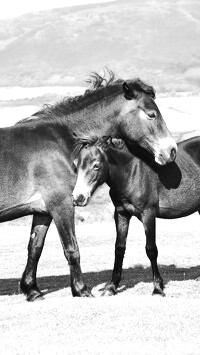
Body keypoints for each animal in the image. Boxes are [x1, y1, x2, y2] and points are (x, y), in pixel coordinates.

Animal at [1, 71, 177, 302]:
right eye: (151, 114)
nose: (171, 151)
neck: (63, 140)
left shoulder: (43, 210)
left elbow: (35, 248)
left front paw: (32, 290)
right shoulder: (62, 204)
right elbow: (71, 248)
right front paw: (81, 290)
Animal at [72, 135, 200, 296]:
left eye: (96, 165)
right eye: (75, 164)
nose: (78, 197)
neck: (132, 173)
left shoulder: (148, 214)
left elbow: (151, 249)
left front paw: (158, 288)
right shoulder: (121, 214)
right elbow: (119, 248)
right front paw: (111, 286)